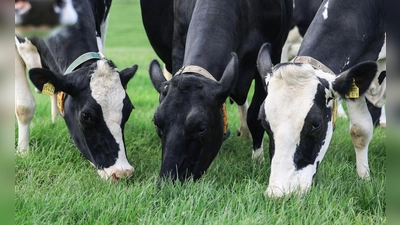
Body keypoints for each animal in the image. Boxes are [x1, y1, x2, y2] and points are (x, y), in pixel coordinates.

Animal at [142, 0, 292, 181]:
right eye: (157, 124)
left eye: (201, 128)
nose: (169, 179)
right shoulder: (178, 44)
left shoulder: (273, 52)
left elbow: (255, 117)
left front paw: (258, 160)